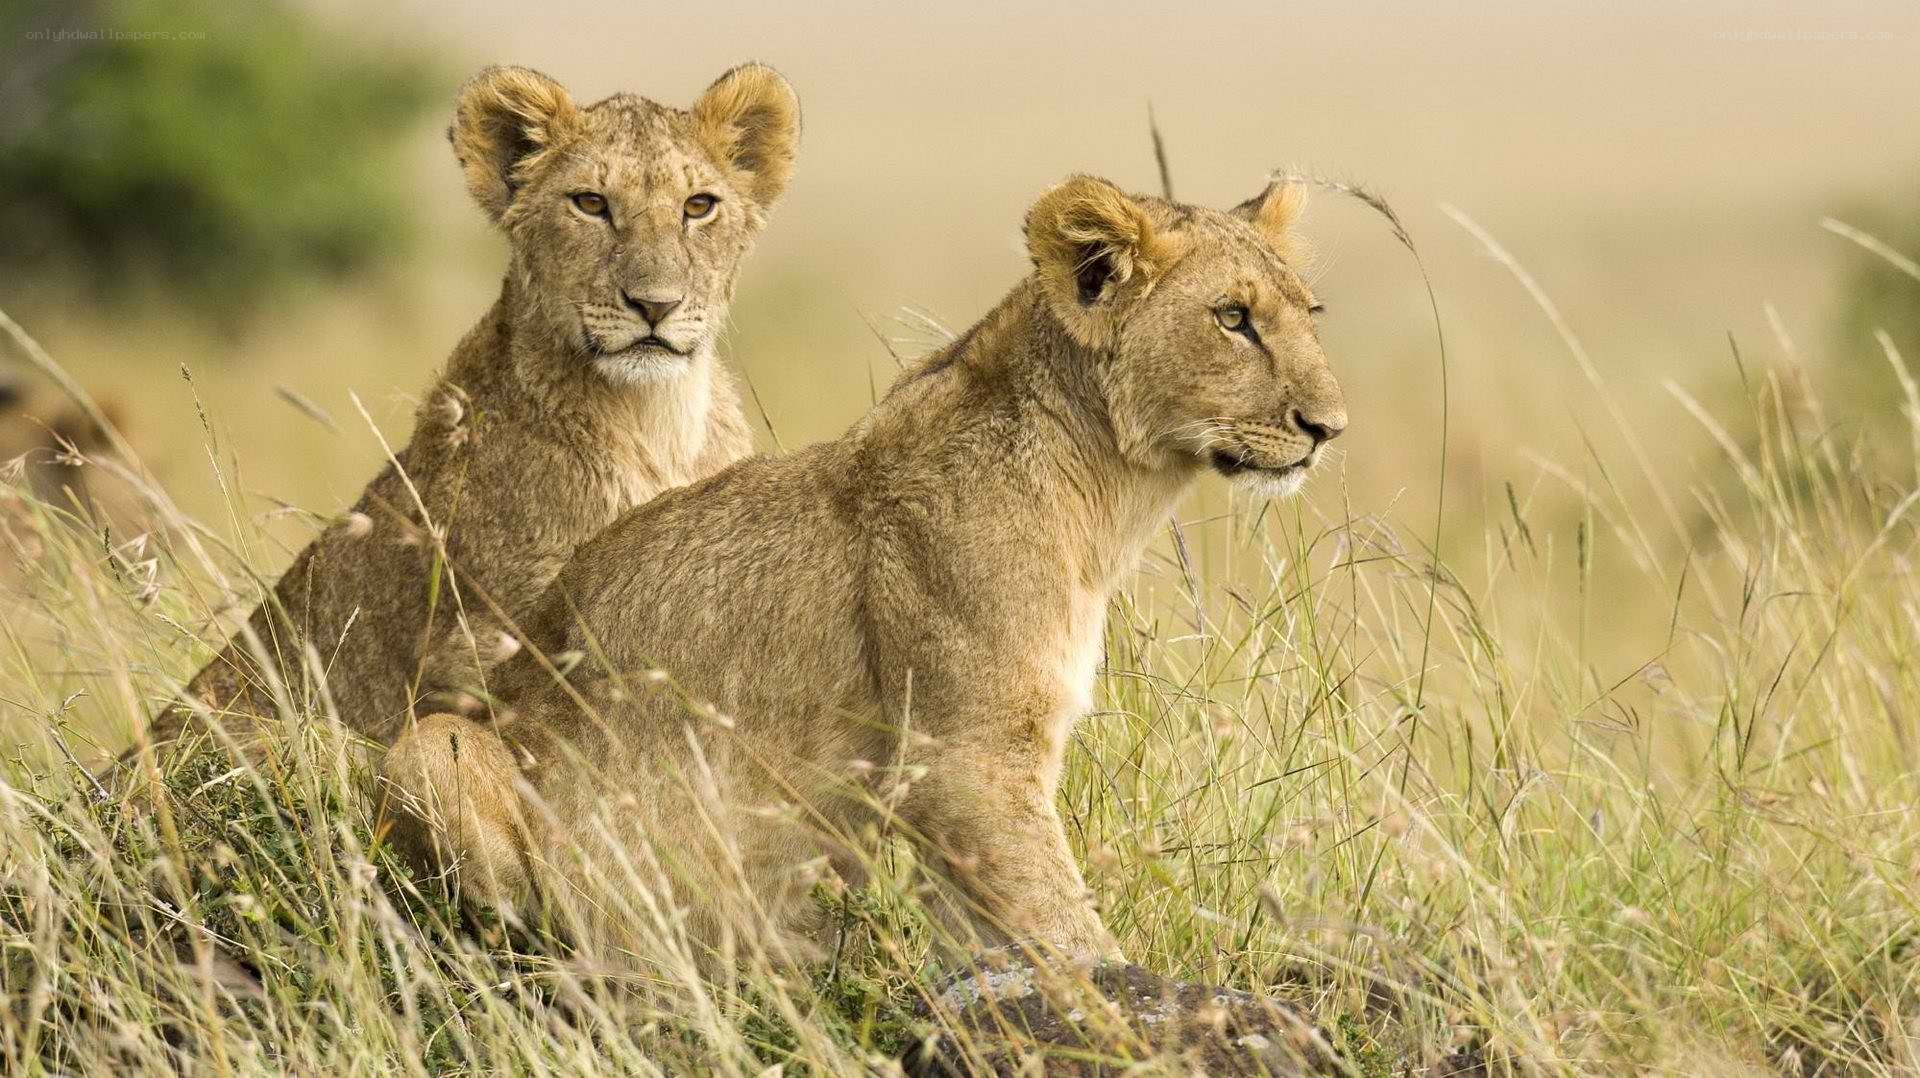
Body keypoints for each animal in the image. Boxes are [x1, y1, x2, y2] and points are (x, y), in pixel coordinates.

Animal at [381, 172, 1347, 967]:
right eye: (1233, 318)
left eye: (1310, 313)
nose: (1328, 427)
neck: (1108, 500)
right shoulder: (963, 758)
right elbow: (1069, 931)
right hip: (434, 745)